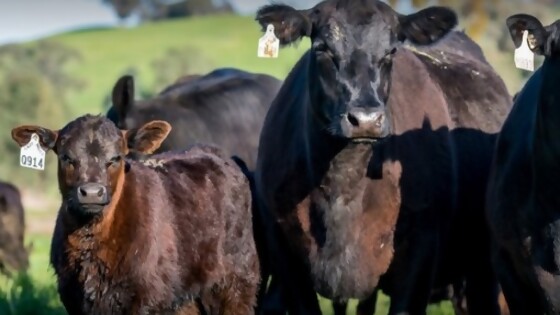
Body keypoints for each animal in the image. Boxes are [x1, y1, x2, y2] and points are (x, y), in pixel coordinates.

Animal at [10, 114, 260, 315]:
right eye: (66, 157)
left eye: (116, 158)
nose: (91, 192)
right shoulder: (72, 297)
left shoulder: (146, 299)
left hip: (236, 285)